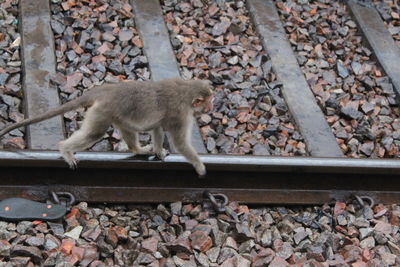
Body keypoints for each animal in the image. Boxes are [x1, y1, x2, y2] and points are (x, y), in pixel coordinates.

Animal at [0, 78, 216, 177]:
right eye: (207, 102)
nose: (211, 107)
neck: (187, 91)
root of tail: (106, 90)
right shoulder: (181, 114)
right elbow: (180, 143)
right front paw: (199, 165)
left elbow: (157, 127)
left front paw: (158, 151)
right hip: (103, 110)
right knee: (95, 133)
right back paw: (65, 149)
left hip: (116, 113)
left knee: (127, 128)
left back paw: (137, 149)